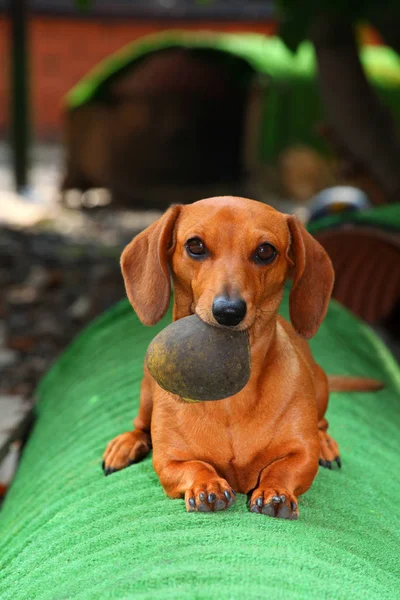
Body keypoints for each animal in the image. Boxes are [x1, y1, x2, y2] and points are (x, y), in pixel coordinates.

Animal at [102, 198, 382, 520]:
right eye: (195, 245)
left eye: (265, 251)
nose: (228, 311)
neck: (230, 400)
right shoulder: (169, 461)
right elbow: (194, 466)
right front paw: (206, 485)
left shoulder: (300, 455)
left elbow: (285, 467)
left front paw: (275, 492)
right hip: (148, 390)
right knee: (140, 426)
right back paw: (125, 444)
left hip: (320, 386)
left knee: (322, 423)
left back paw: (325, 444)